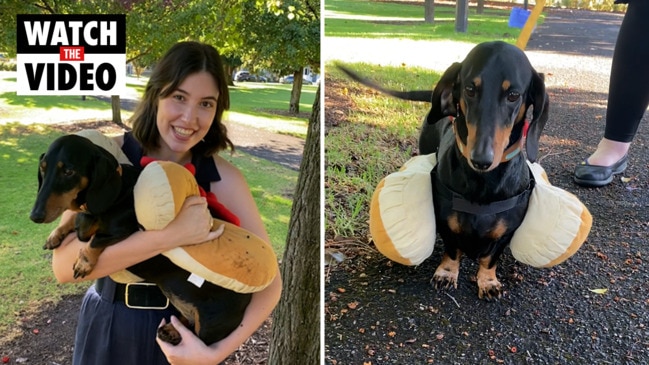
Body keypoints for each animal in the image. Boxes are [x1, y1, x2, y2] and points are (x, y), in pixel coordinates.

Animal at [340, 41, 548, 298]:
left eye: (513, 95)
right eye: (470, 89)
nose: (481, 159)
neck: (483, 184)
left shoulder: (507, 232)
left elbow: (490, 258)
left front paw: (488, 281)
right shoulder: (445, 220)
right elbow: (452, 248)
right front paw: (447, 273)